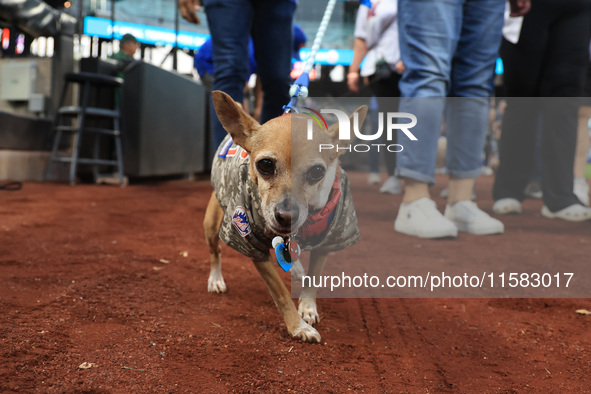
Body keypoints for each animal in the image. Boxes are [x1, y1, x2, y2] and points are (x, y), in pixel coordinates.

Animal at [206, 91, 368, 342]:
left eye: (317, 172)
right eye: (265, 165)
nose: (286, 216)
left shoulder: (329, 240)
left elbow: (314, 277)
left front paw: (308, 308)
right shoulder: (252, 245)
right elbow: (281, 293)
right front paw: (298, 326)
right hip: (213, 224)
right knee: (215, 251)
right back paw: (215, 279)